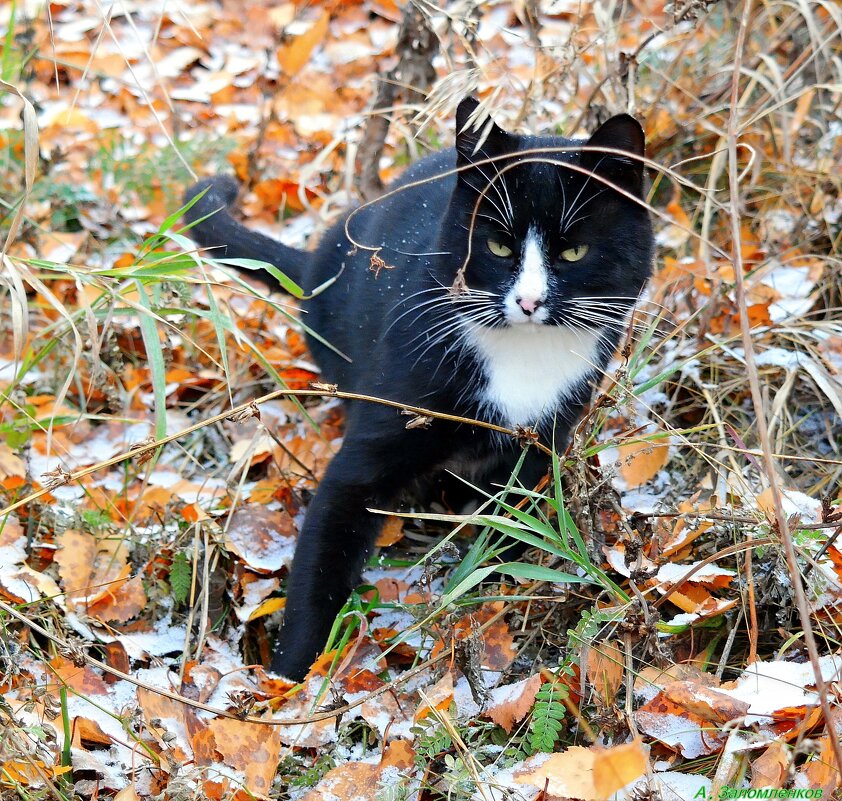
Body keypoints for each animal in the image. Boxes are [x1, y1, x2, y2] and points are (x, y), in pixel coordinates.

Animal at [185, 97, 656, 680]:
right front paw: (290, 678)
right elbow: (332, 532)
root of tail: (317, 263)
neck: (521, 357)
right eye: (497, 244)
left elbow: (510, 525)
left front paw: (487, 589)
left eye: (573, 253)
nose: (528, 302)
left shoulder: (541, 444)